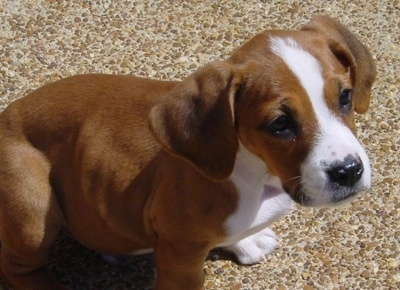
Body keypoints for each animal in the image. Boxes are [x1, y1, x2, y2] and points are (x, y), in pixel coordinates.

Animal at [0, 15, 376, 290]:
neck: (255, 174)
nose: (348, 171)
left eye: (345, 96)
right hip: (32, 204)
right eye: (280, 123)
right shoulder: (180, 253)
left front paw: (247, 241)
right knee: (18, 267)